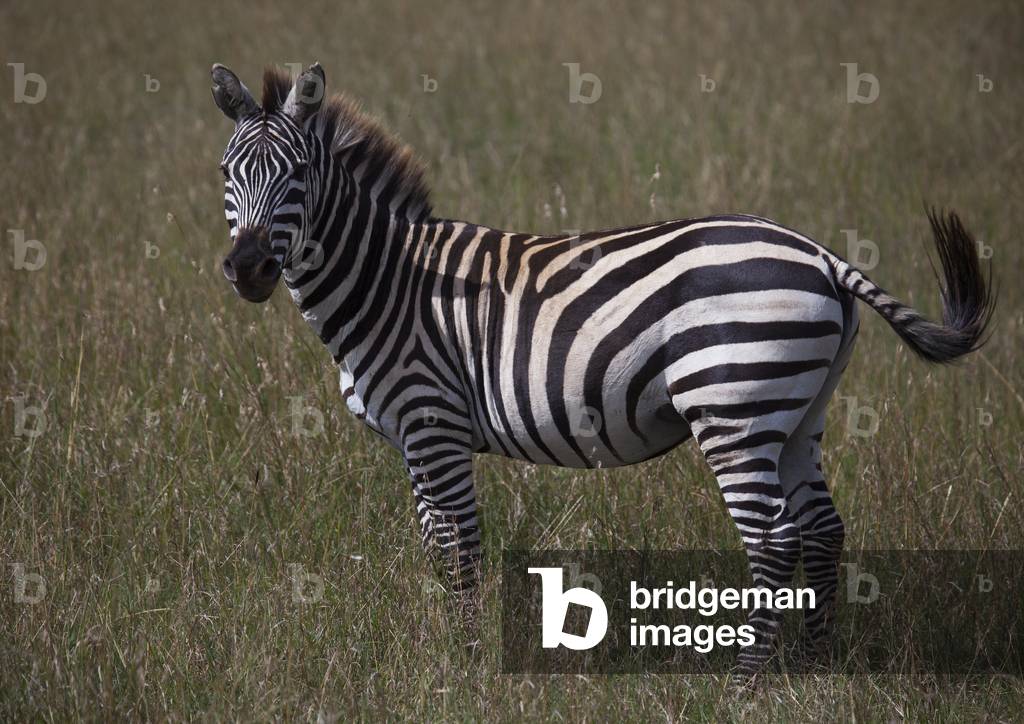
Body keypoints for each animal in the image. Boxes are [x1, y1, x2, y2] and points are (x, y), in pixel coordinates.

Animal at [210, 63, 995, 676]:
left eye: (297, 174)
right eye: (225, 174)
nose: (248, 269)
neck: (390, 282)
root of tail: (824, 255)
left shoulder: (432, 422)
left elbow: (458, 549)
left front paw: (463, 667)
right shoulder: (414, 439)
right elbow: (436, 546)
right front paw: (448, 653)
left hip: (733, 407)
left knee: (775, 537)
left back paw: (747, 684)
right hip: (800, 412)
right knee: (824, 529)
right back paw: (811, 665)